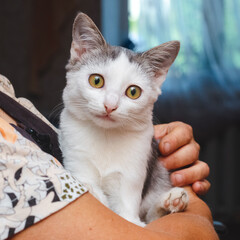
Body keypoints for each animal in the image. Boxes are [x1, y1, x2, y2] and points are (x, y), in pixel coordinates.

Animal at [59, 12, 188, 227]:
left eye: (133, 92)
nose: (110, 106)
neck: (106, 136)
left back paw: (172, 201)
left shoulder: (133, 175)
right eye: (96, 81)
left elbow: (130, 219)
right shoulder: (75, 155)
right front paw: (90, 188)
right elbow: (90, 185)